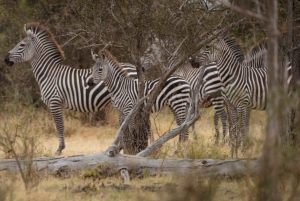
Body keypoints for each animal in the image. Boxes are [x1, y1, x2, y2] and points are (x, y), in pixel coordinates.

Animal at [3, 22, 137, 155]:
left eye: (22, 45)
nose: (5, 59)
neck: (50, 74)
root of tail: (134, 66)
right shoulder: (59, 104)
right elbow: (61, 125)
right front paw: (60, 148)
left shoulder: (55, 102)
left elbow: (59, 126)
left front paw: (59, 149)